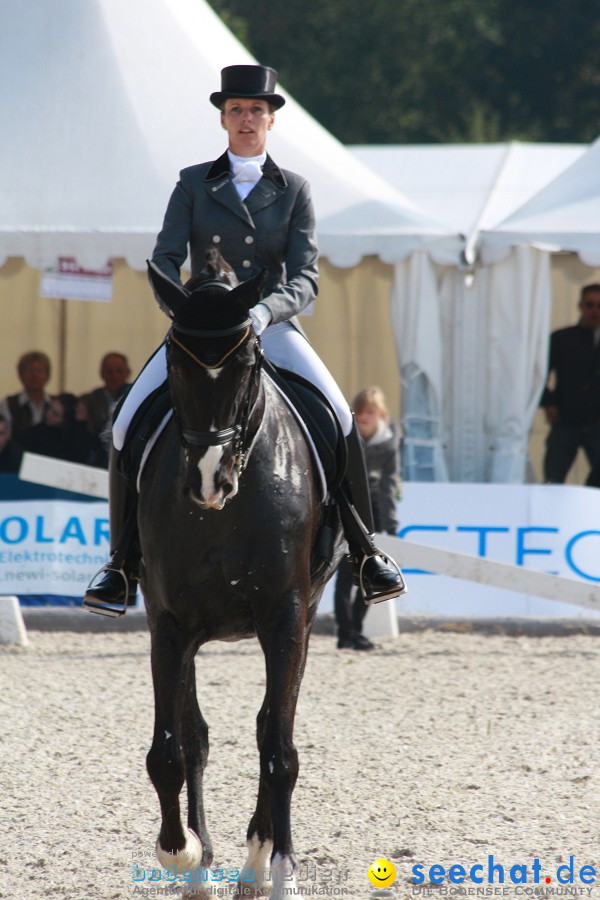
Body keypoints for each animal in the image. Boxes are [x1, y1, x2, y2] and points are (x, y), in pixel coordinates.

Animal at [137, 250, 342, 896]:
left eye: (248, 361)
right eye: (175, 360)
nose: (209, 480)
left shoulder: (286, 617)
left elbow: (279, 749)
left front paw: (280, 871)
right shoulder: (168, 623)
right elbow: (172, 751)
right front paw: (183, 854)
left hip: (305, 617)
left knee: (270, 727)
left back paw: (256, 859)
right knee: (200, 737)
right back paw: (207, 863)